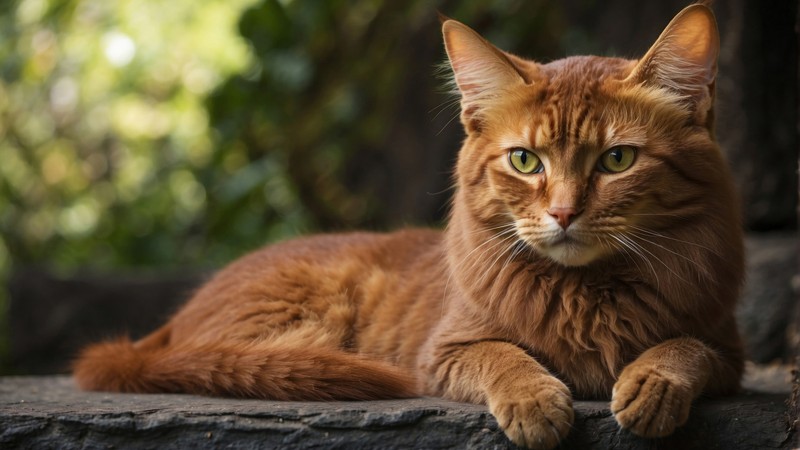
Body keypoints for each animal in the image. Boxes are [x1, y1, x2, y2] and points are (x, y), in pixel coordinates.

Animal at [73, 4, 744, 450]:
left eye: (617, 160)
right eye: (525, 161)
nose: (562, 213)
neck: (587, 296)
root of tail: (167, 330)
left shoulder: (726, 350)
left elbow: (686, 349)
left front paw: (651, 384)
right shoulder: (443, 351)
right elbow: (500, 355)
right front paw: (535, 399)